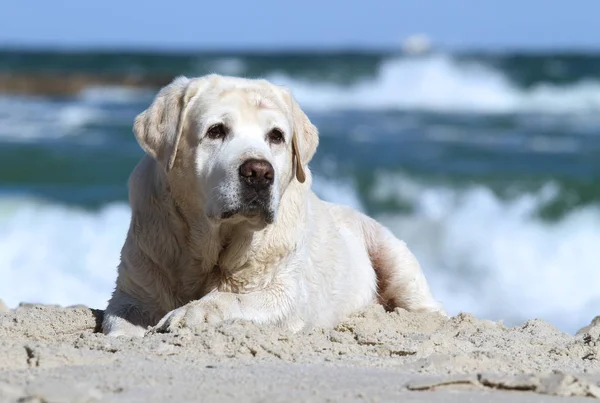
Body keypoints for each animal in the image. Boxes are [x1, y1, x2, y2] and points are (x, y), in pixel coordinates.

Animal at [101, 73, 442, 338]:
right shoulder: (136, 288)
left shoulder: (284, 293)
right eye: (216, 131)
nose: (259, 172)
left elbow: (231, 299)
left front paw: (190, 313)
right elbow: (122, 320)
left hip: (390, 252)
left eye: (276, 136)